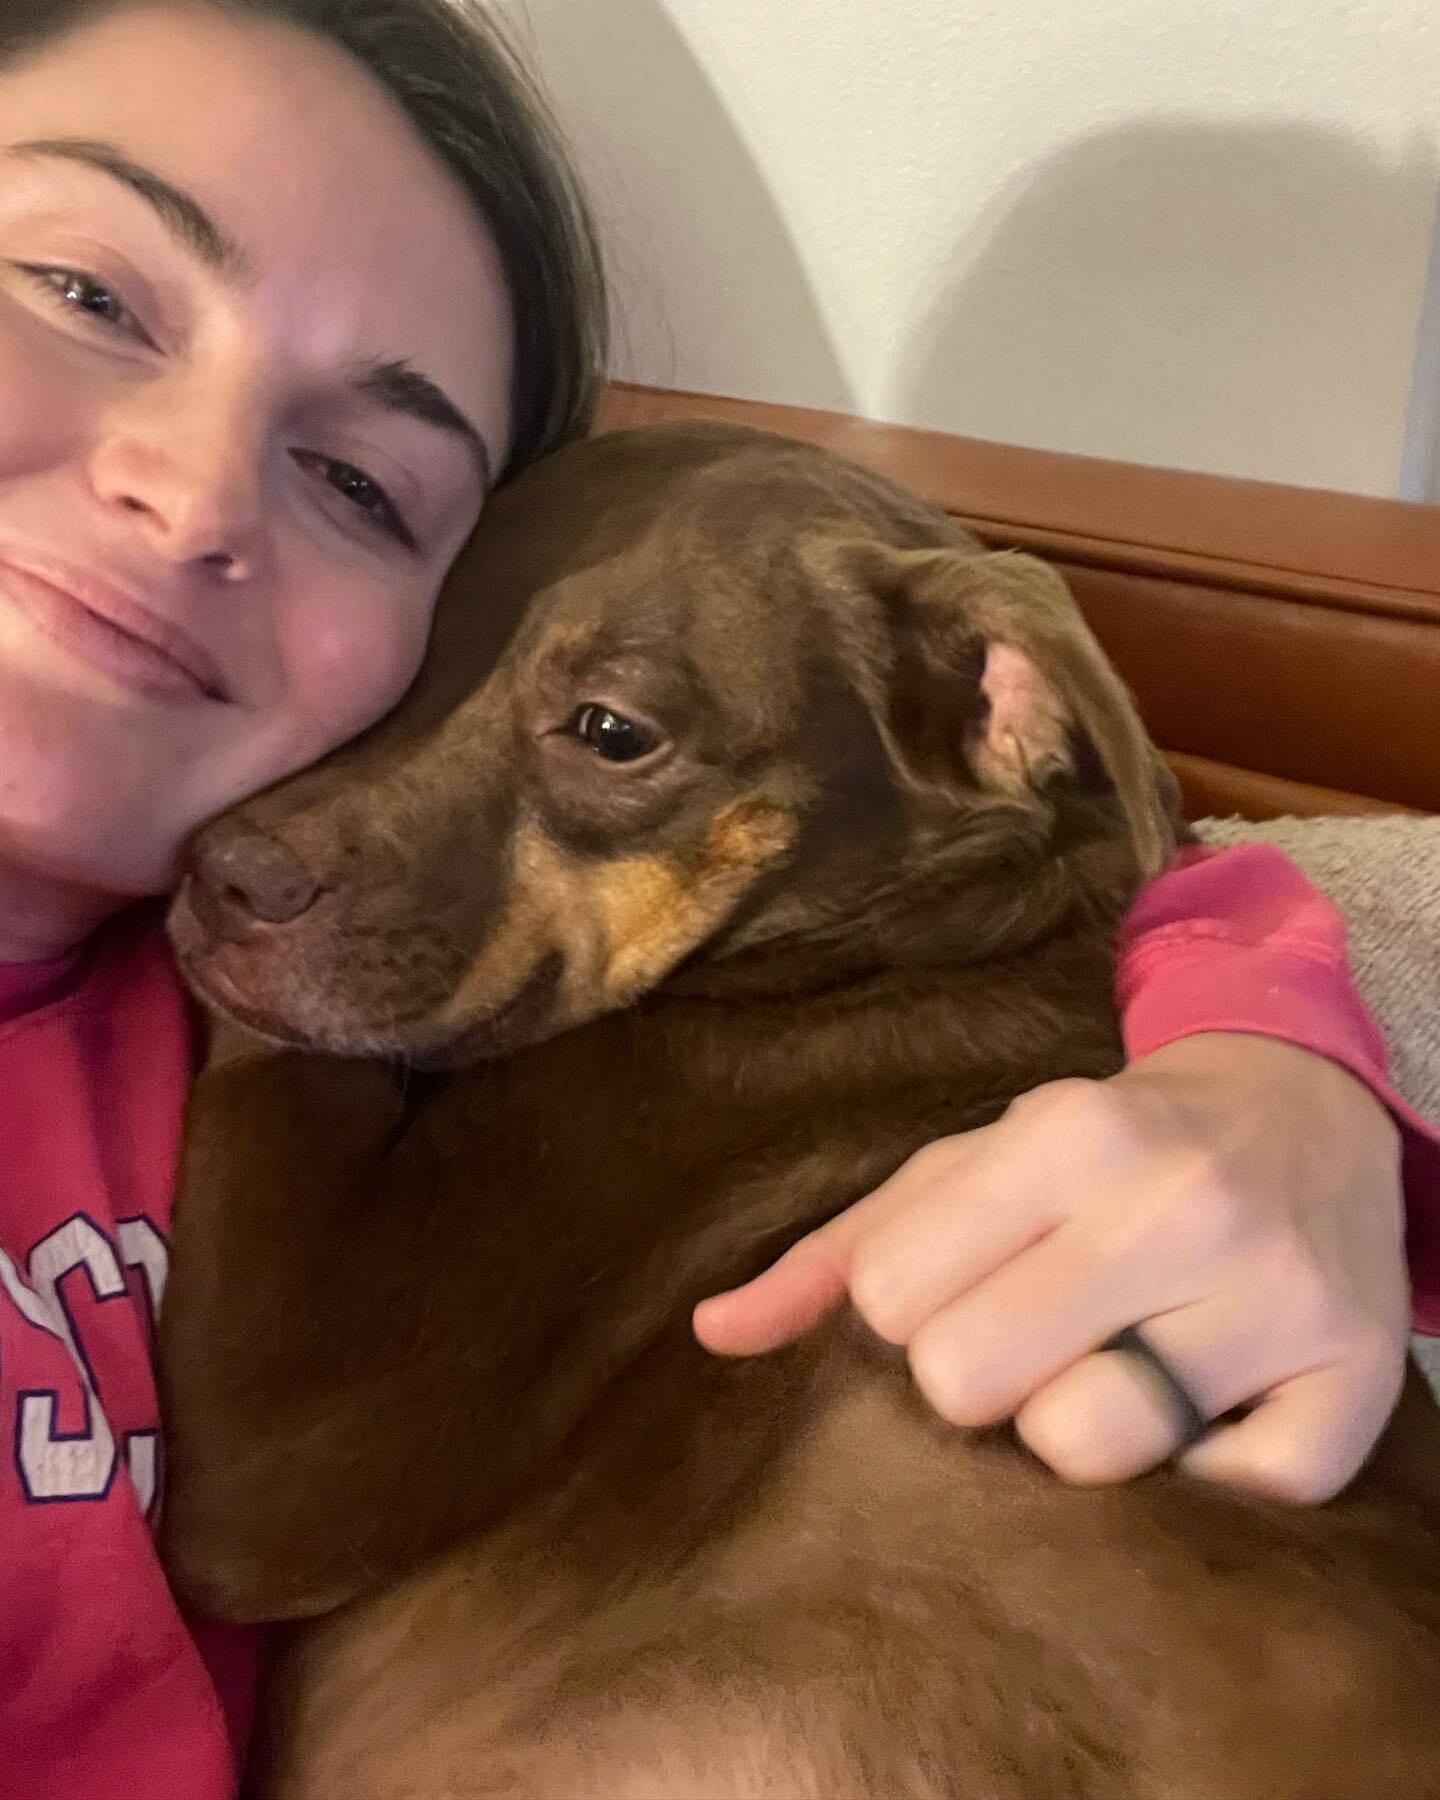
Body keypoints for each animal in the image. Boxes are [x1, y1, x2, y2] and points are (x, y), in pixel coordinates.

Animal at [157, 424, 1440, 1800]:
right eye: (417, 652)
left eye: (612, 731)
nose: (217, 876)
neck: (906, 941)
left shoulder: (299, 1437)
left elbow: (285, 1057)